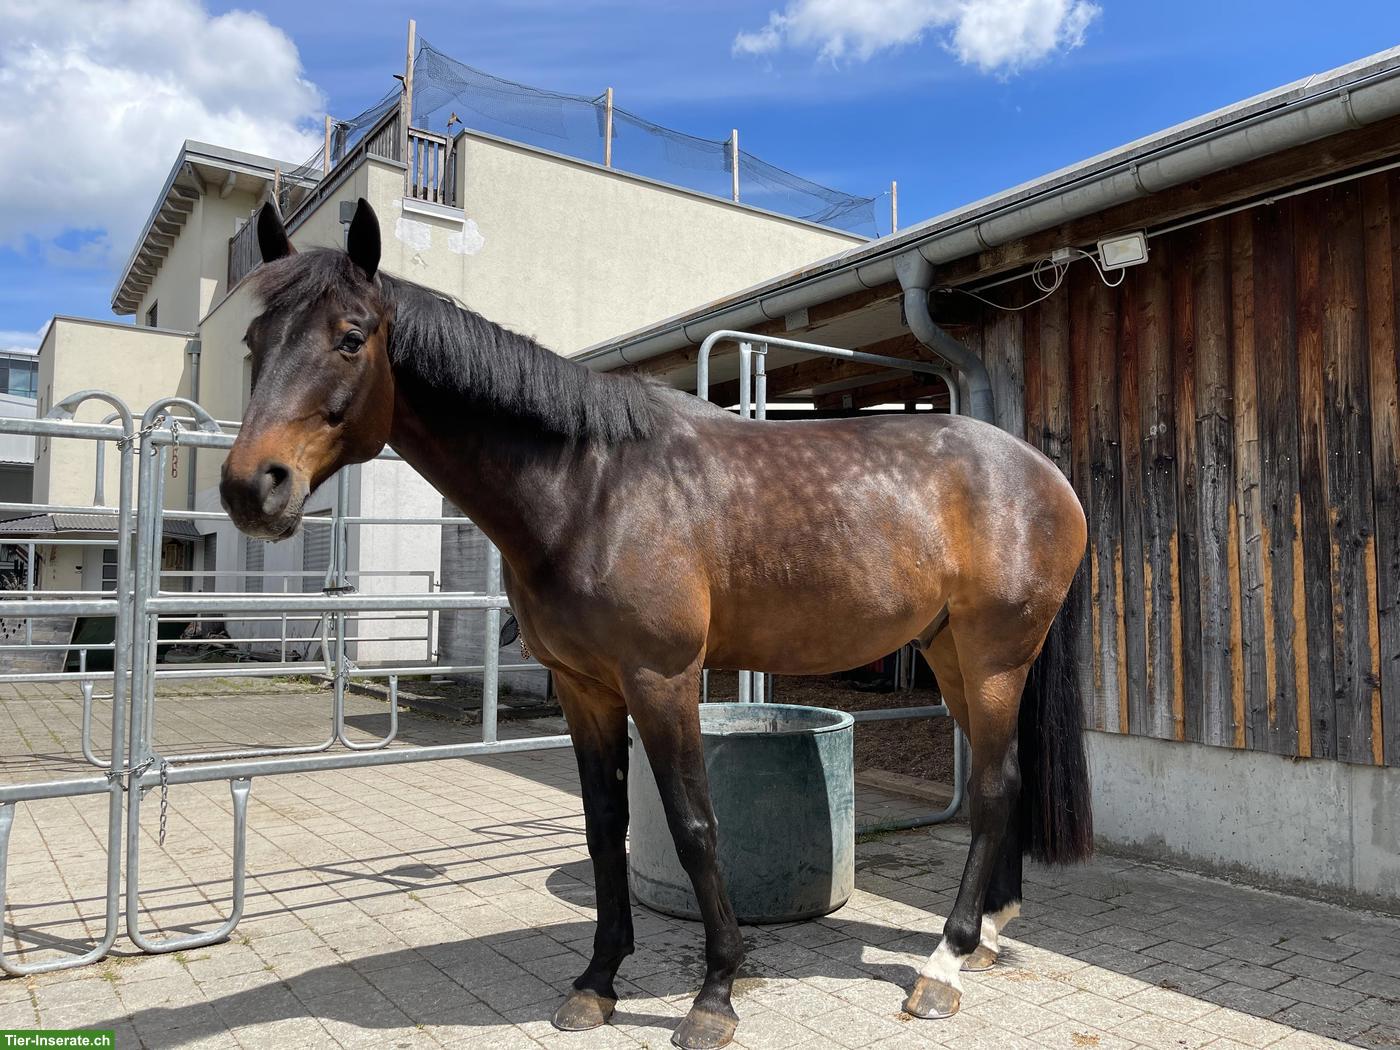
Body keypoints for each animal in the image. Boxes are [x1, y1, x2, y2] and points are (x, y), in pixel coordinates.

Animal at [220, 199, 1093, 1050]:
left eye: (350, 337)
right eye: (253, 342)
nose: (251, 488)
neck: (590, 487)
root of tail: (1043, 476)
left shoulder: (661, 680)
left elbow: (694, 824)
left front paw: (716, 995)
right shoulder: (585, 689)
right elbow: (605, 826)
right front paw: (597, 983)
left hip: (993, 656)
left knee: (993, 785)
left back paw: (944, 965)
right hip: (950, 654)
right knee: (1004, 776)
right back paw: (986, 934)